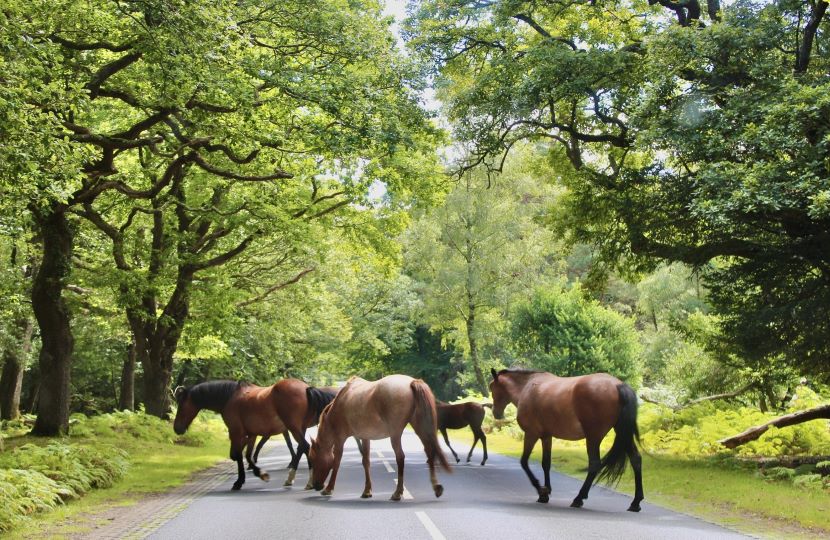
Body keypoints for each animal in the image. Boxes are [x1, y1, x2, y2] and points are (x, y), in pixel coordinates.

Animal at [174, 380, 336, 490]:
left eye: (181, 405)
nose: (177, 428)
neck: (230, 398)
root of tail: (306, 388)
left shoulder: (236, 432)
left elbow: (237, 455)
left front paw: (243, 480)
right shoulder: (251, 434)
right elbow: (247, 455)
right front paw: (257, 473)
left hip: (294, 428)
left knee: (305, 447)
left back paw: (305, 480)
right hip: (299, 428)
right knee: (302, 448)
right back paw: (297, 480)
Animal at [308, 374, 452, 500]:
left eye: (313, 459)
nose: (315, 485)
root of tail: (412, 382)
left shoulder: (340, 439)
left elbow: (336, 462)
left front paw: (329, 489)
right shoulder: (365, 437)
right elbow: (365, 461)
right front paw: (367, 491)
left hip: (395, 434)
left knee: (400, 457)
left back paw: (397, 493)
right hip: (420, 427)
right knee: (429, 451)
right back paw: (436, 487)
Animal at [490, 368, 648, 510]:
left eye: (492, 388)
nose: (496, 413)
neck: (527, 387)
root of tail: (618, 385)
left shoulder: (531, 434)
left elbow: (524, 462)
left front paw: (541, 490)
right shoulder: (546, 436)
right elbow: (546, 463)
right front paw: (545, 493)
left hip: (594, 437)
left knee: (594, 464)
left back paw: (578, 498)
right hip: (622, 433)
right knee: (636, 459)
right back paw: (636, 502)